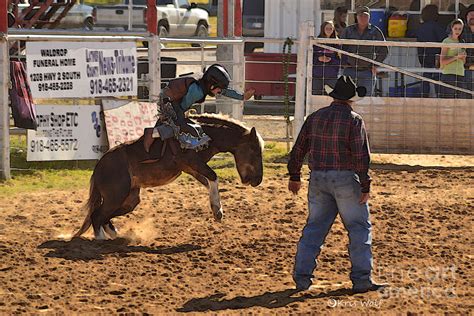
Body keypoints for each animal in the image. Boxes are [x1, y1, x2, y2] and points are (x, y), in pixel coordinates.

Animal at [76, 113, 264, 239]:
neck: (204, 133)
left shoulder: (191, 168)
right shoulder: (192, 161)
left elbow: (207, 181)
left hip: (129, 199)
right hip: (116, 196)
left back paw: (115, 236)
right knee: (97, 216)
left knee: (104, 217)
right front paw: (218, 211)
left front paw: (216, 208)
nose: (258, 180)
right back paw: (100, 240)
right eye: (255, 151)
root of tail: (99, 166)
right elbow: (213, 176)